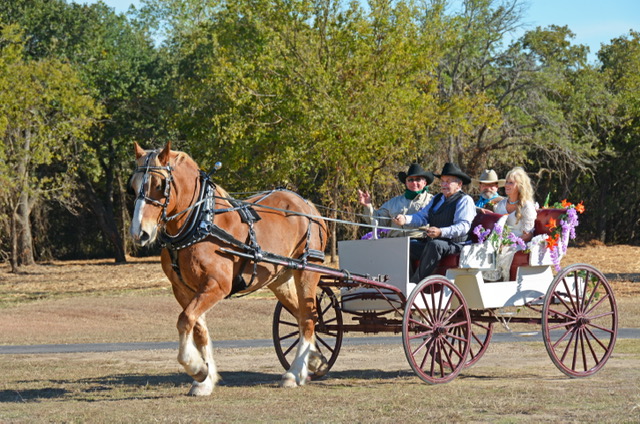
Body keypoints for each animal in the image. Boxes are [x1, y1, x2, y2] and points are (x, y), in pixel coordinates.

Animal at [131, 142, 330, 394]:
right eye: (133, 185)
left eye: (160, 185)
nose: (139, 233)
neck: (200, 223)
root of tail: (306, 204)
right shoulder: (183, 289)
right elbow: (198, 329)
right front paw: (205, 381)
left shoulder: (217, 285)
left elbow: (185, 319)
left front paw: (196, 368)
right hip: (280, 279)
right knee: (303, 315)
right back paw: (313, 360)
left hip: (307, 271)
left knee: (307, 319)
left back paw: (293, 373)